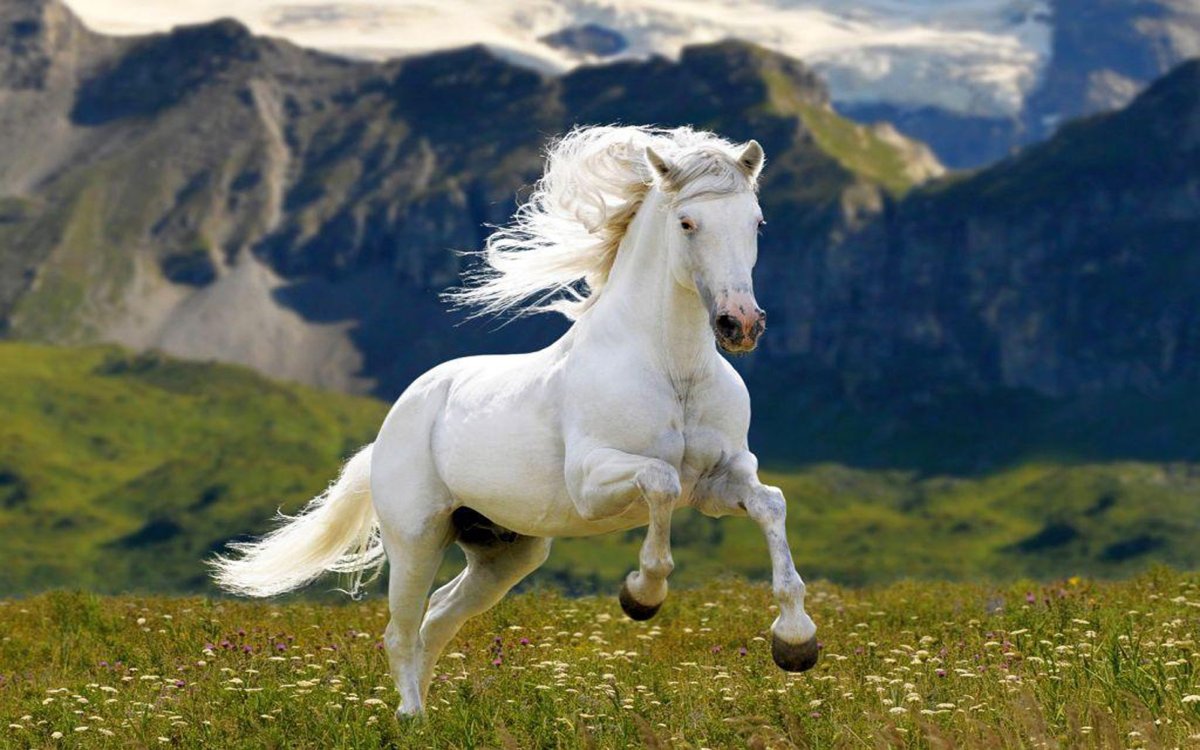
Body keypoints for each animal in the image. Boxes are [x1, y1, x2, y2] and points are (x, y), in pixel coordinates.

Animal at [212, 125, 820, 718]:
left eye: (757, 221)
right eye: (687, 222)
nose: (740, 324)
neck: (675, 372)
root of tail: (391, 426)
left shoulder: (719, 481)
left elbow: (771, 503)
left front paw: (795, 643)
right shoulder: (593, 483)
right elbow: (661, 482)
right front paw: (641, 596)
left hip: (505, 552)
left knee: (438, 618)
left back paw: (428, 717)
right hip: (417, 538)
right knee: (400, 632)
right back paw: (410, 719)